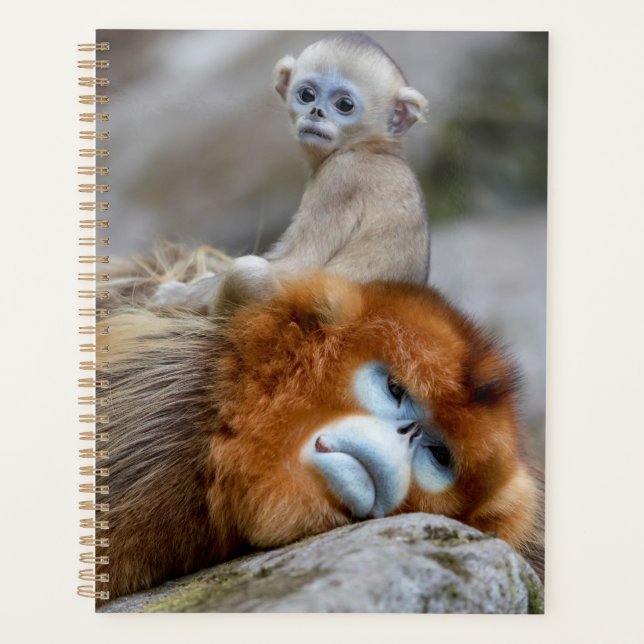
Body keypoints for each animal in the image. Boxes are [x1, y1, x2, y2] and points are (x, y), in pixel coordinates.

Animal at [150, 33, 430, 310]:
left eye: (344, 104)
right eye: (307, 95)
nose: (316, 112)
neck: (373, 148)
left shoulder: (340, 176)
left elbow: (299, 267)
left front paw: (179, 296)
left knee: (247, 271)